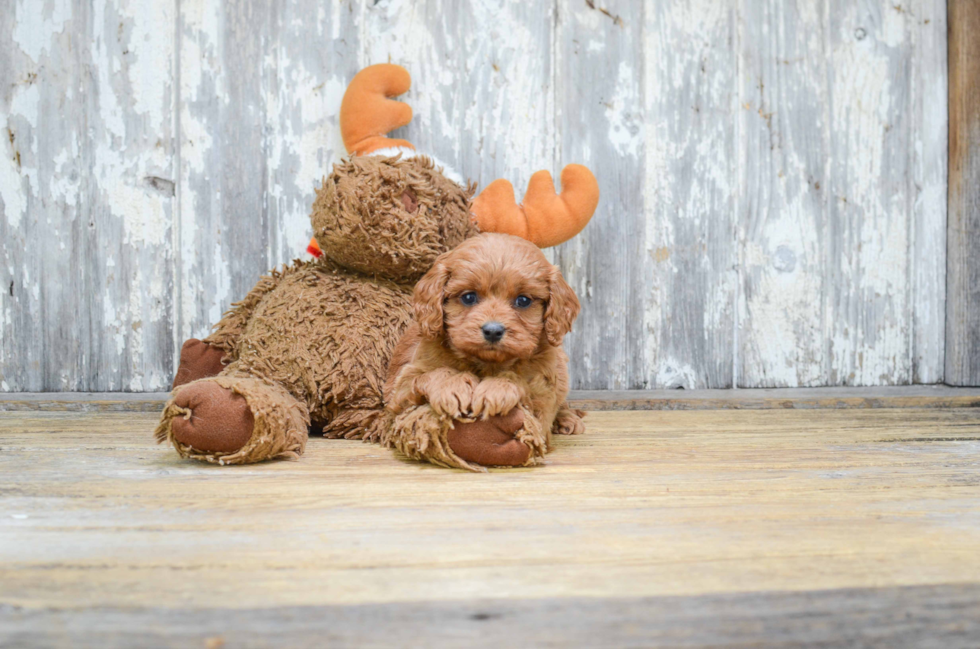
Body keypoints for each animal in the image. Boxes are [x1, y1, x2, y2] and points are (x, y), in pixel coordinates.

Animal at [380, 233, 580, 470]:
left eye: (523, 300)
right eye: (469, 297)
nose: (493, 331)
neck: (487, 363)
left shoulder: (543, 395)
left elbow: (523, 385)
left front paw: (497, 388)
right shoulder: (399, 390)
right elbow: (432, 374)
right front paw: (452, 386)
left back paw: (568, 419)